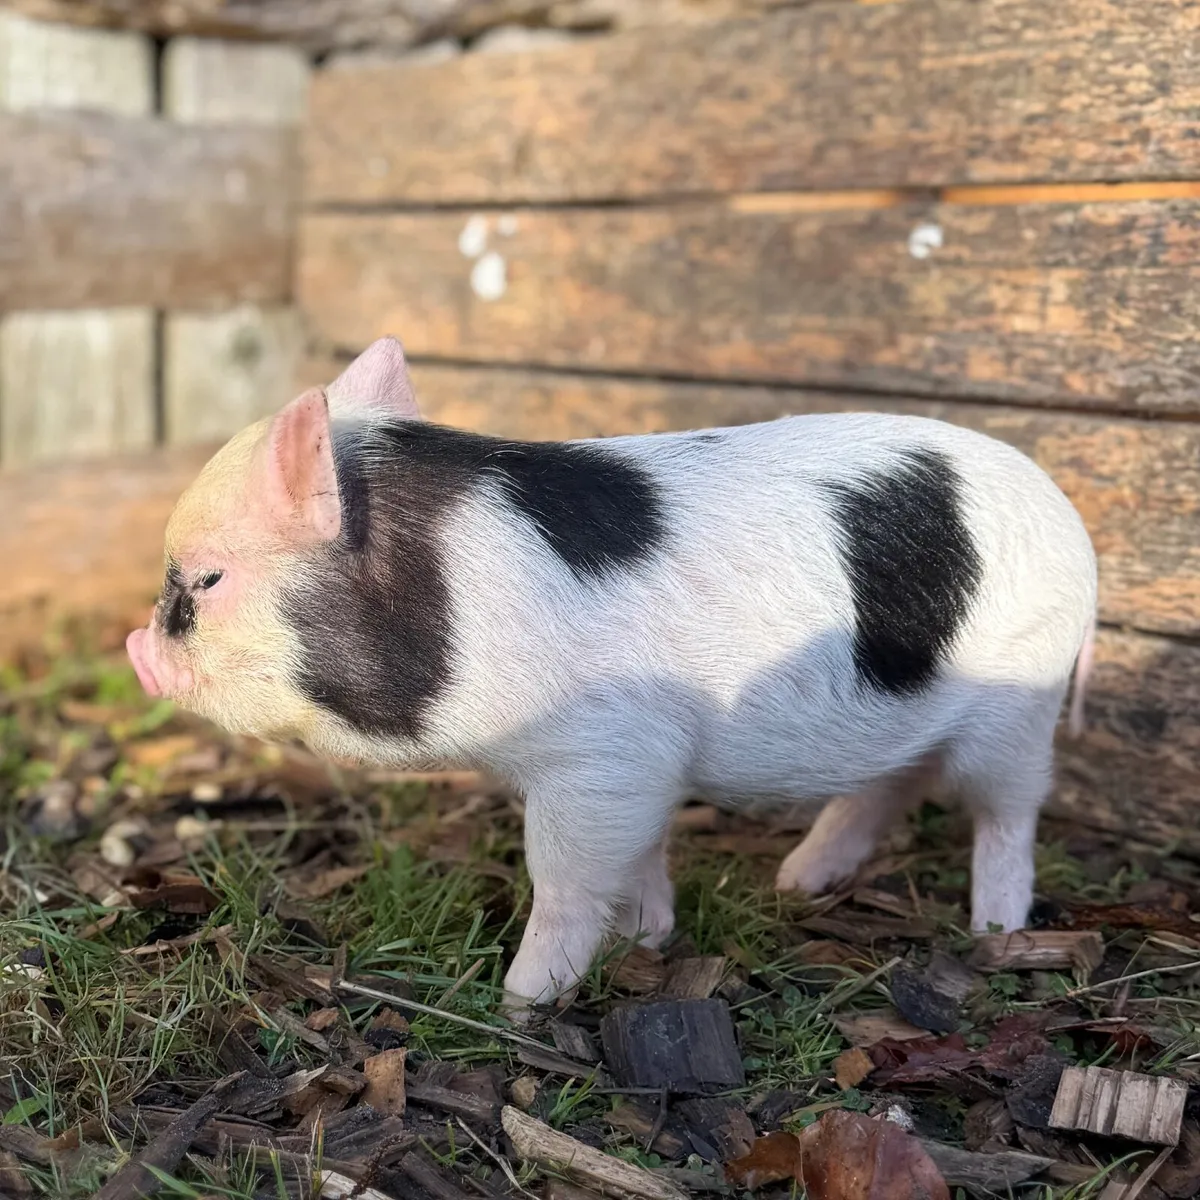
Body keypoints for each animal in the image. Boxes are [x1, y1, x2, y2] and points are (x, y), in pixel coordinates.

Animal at [127, 337, 1097, 1013]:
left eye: (206, 582)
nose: (139, 651)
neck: (452, 602)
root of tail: (1071, 518)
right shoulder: (640, 765)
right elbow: (641, 854)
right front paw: (647, 939)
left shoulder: (603, 755)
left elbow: (567, 875)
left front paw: (523, 1000)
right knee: (888, 785)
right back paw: (798, 882)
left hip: (1022, 699)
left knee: (1008, 810)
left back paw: (995, 930)